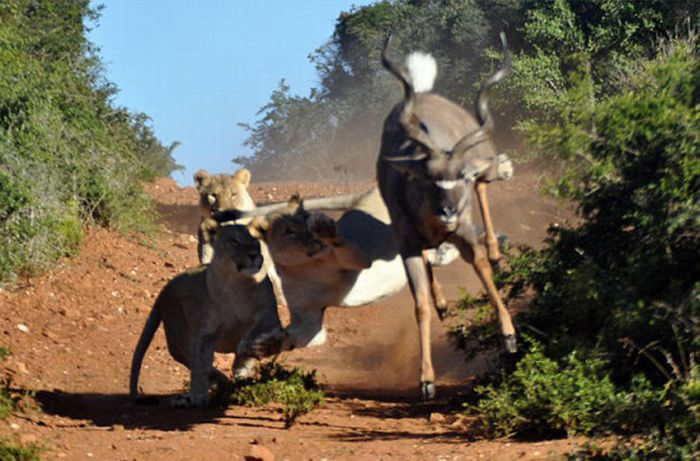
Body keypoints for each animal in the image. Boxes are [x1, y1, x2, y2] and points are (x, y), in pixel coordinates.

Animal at [378, 33, 520, 398]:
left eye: (460, 179)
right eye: (428, 179)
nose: (448, 212)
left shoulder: (465, 231)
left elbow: (481, 266)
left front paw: (509, 336)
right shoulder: (407, 244)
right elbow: (420, 303)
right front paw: (427, 380)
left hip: (486, 169)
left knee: (486, 187)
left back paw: (496, 252)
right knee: (431, 264)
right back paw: (443, 303)